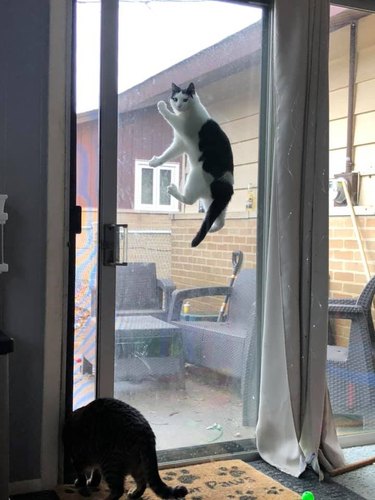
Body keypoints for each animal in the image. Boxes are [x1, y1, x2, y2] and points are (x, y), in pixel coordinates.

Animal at [63, 398, 191, 500]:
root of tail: (145, 432)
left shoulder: (77, 458)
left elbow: (81, 475)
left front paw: (81, 484)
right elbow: (95, 473)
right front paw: (92, 482)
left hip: (110, 463)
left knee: (118, 490)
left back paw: (108, 498)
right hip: (136, 464)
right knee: (142, 482)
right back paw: (135, 494)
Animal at [151, 82, 235, 248]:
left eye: (185, 99)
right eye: (175, 98)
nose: (178, 105)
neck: (186, 113)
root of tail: (227, 186)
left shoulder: (182, 127)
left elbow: (170, 117)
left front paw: (162, 106)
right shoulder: (180, 144)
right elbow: (166, 155)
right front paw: (156, 162)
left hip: (195, 175)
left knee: (189, 200)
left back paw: (173, 190)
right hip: (212, 201)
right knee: (219, 221)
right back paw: (212, 228)